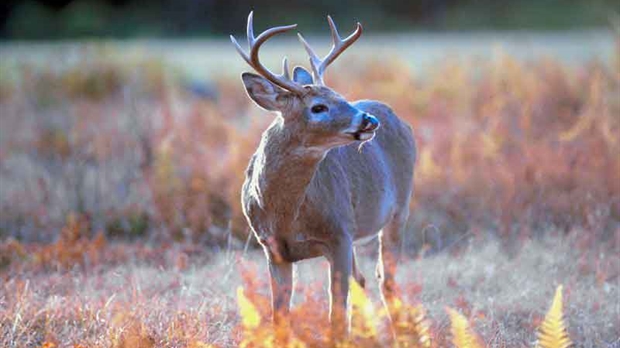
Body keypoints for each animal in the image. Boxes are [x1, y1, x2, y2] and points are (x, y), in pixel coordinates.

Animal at [231, 12, 416, 334]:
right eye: (318, 107)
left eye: (341, 96)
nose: (368, 120)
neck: (286, 214)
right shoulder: (272, 247)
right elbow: (280, 315)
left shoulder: (338, 233)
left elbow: (336, 314)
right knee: (364, 280)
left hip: (398, 210)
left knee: (385, 279)